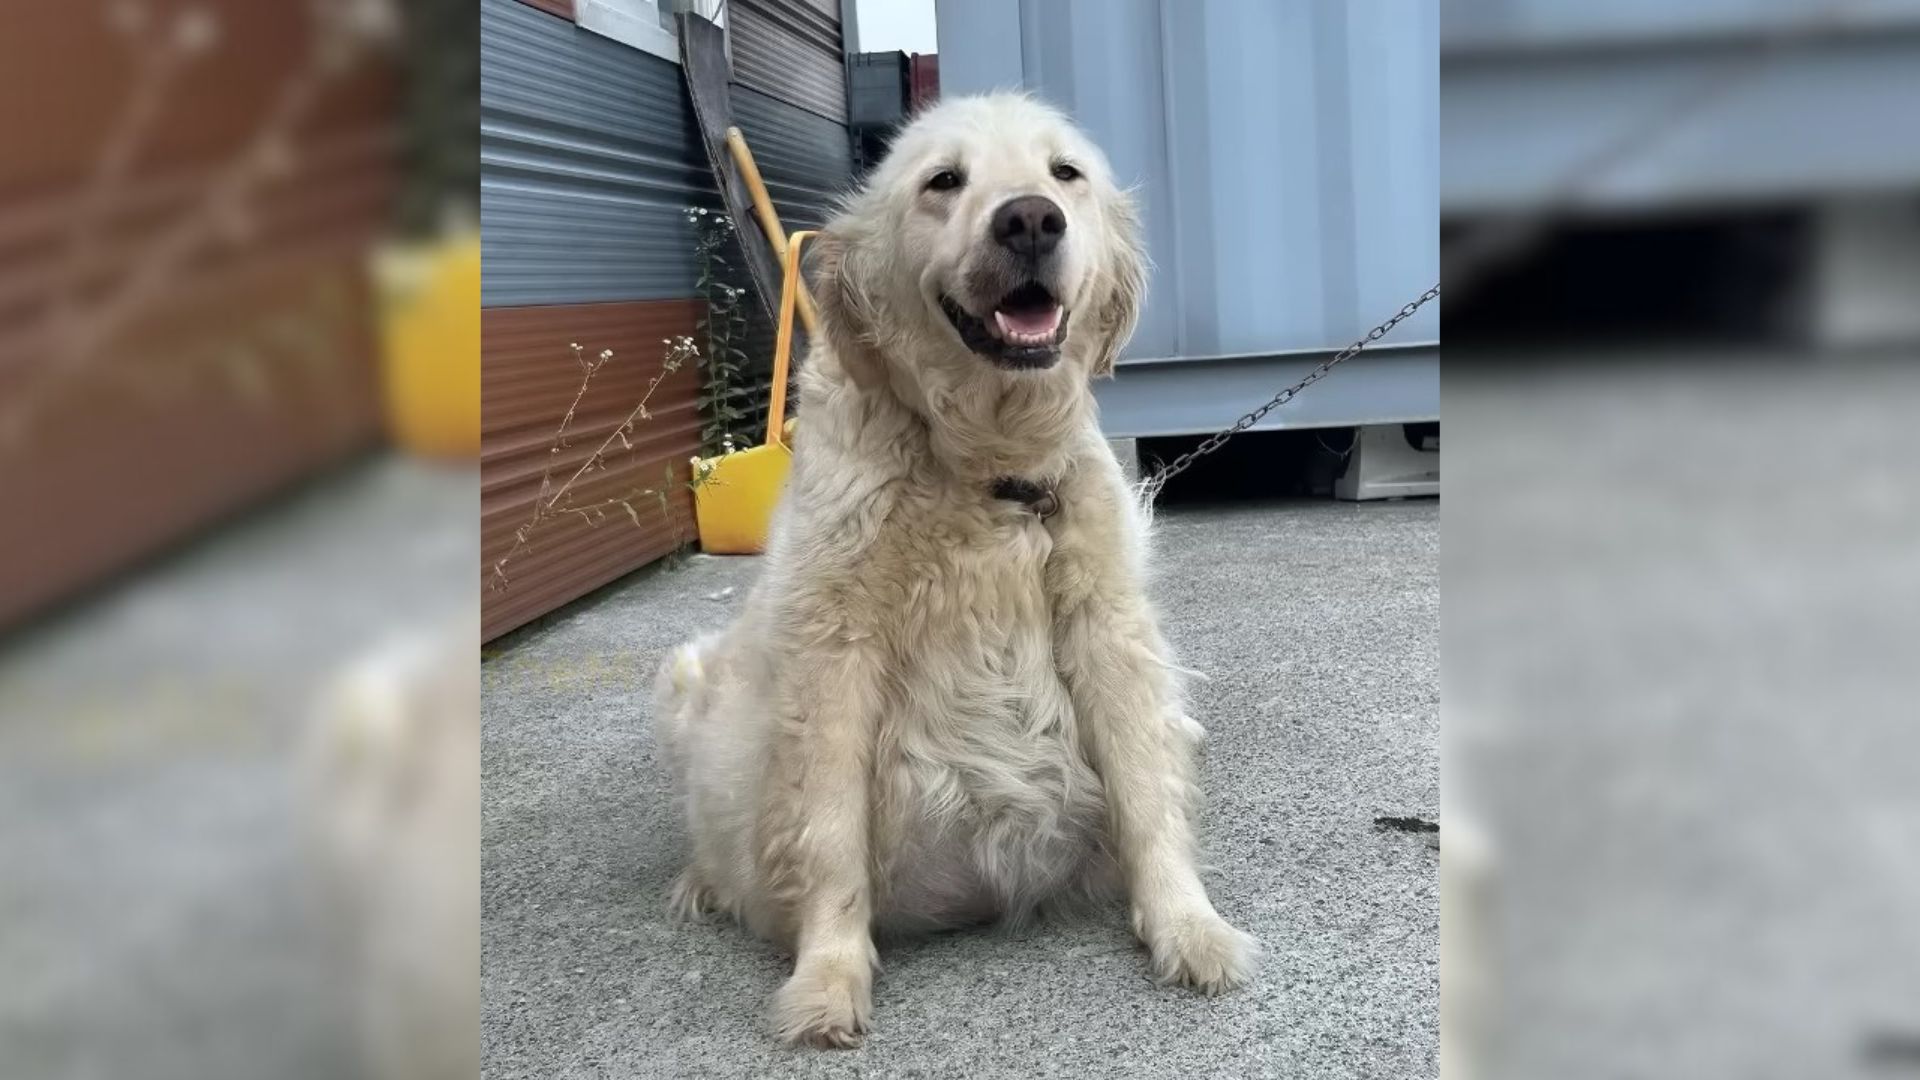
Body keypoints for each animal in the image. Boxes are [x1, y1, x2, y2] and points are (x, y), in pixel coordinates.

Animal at [660, 92, 1259, 1045]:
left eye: (1065, 173)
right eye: (943, 181)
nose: (1030, 220)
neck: (985, 464)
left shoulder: (1109, 632)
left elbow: (1147, 790)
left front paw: (1187, 924)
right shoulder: (833, 661)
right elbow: (828, 837)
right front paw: (827, 978)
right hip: (686, 675)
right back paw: (704, 882)